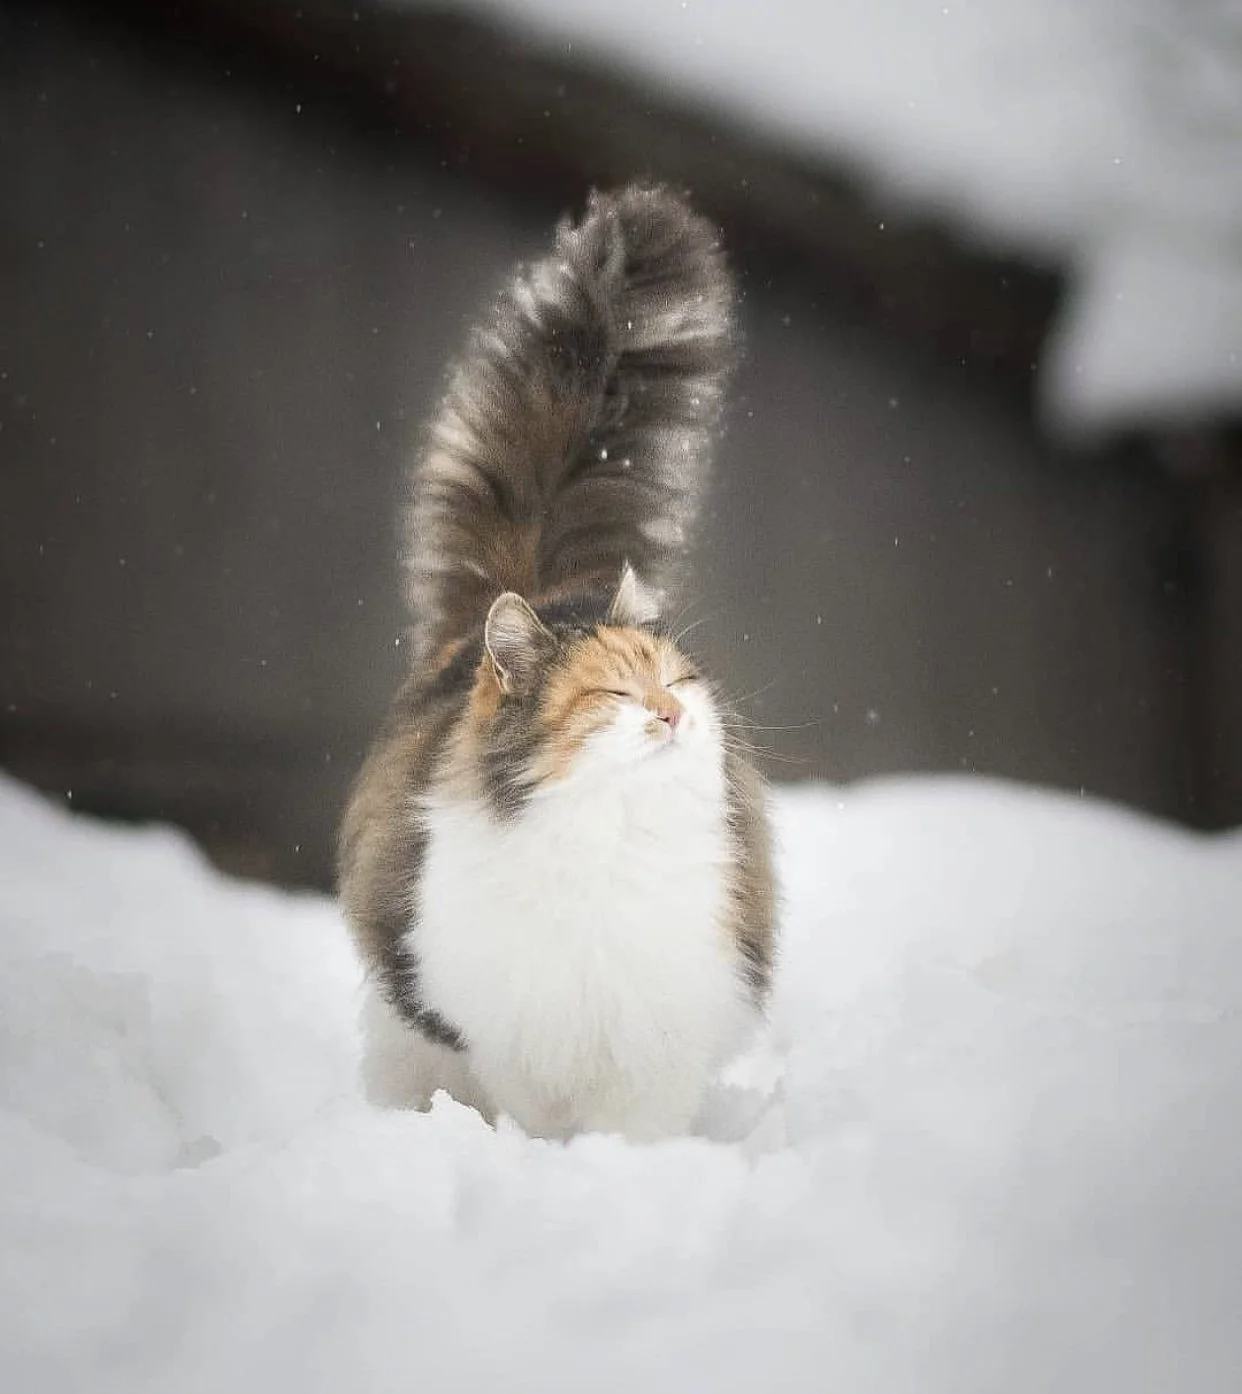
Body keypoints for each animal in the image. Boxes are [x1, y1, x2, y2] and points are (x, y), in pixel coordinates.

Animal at [334, 182, 775, 1143]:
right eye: (613, 690)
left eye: (675, 681)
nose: (670, 713)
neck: (611, 842)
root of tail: (544, 587)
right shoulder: (514, 1034)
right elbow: (534, 1119)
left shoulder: (659, 1034)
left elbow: (637, 1128)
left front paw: (624, 1169)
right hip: (407, 1021)